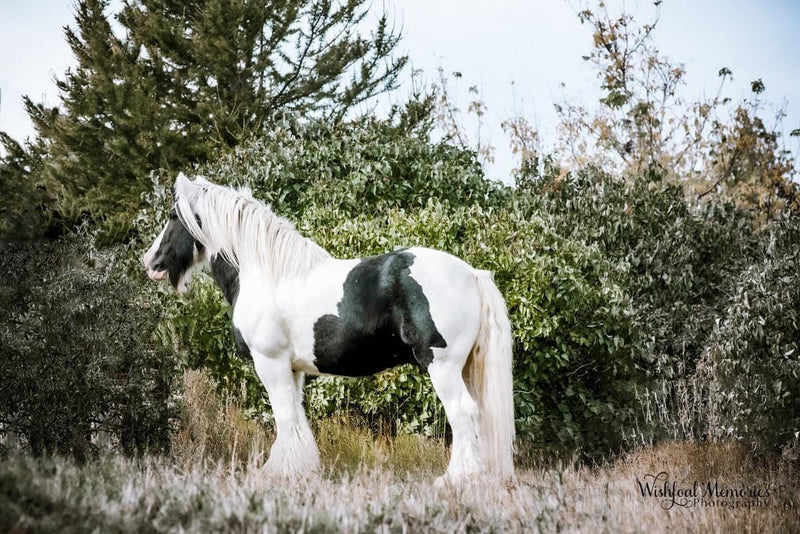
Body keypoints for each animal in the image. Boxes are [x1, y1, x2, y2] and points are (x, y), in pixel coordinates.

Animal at [143, 173, 515, 483]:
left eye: (174, 217)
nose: (151, 263)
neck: (266, 273)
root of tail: (472, 274)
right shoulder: (292, 369)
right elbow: (296, 419)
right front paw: (300, 469)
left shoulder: (270, 362)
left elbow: (284, 418)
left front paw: (278, 474)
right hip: (463, 367)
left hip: (443, 365)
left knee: (463, 412)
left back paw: (457, 478)